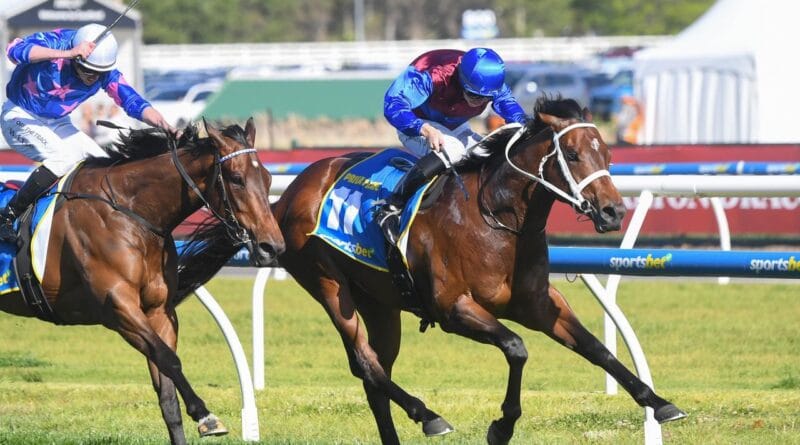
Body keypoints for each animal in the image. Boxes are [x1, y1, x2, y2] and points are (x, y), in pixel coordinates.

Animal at [0, 118, 285, 445]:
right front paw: (205, 415)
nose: (272, 247)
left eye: (267, 179)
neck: (132, 213)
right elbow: (169, 359)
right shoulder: (118, 307)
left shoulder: (158, 311)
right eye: (237, 179)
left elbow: (167, 393)